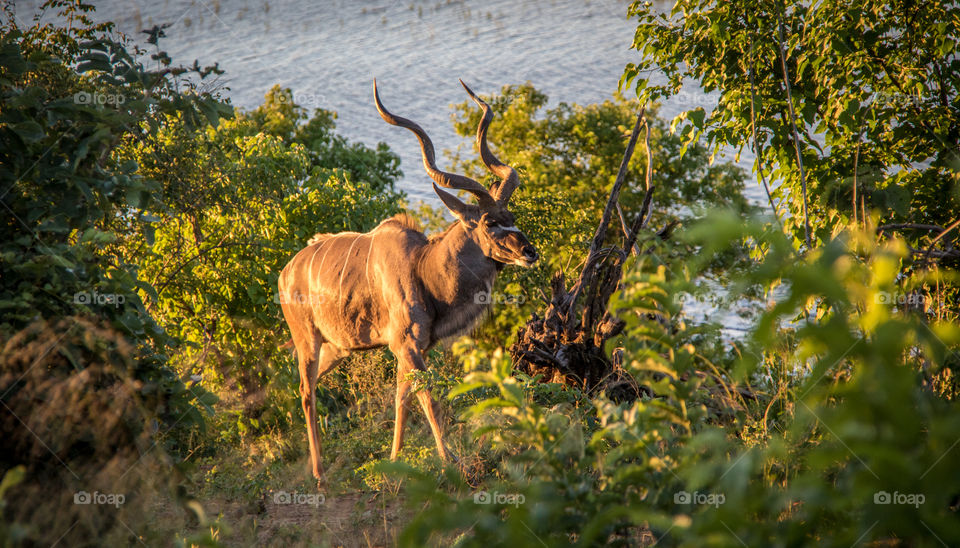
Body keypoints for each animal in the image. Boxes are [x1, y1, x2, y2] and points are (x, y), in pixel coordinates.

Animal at [278, 80, 536, 484]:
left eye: (510, 217)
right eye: (489, 223)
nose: (529, 252)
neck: (423, 267)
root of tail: (285, 272)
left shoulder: (409, 348)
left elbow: (402, 397)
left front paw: (394, 459)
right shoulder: (409, 346)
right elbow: (428, 398)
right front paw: (450, 461)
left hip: (337, 348)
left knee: (312, 384)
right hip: (308, 339)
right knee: (306, 389)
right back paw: (319, 472)